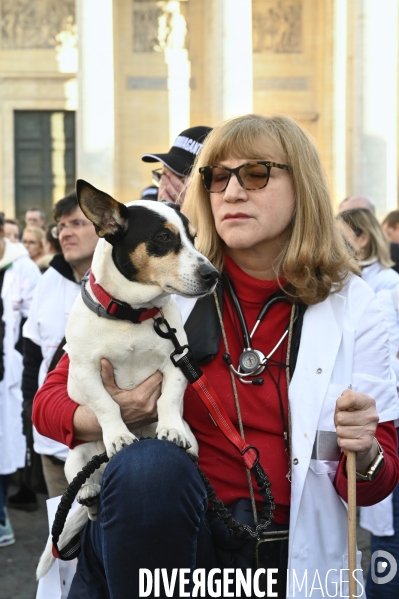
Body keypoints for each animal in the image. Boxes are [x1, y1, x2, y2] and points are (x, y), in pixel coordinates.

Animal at [36, 180, 219, 580]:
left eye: (194, 238)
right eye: (163, 238)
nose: (213, 275)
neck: (132, 316)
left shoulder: (177, 362)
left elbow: (168, 399)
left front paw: (169, 428)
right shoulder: (86, 372)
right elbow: (106, 405)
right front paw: (119, 435)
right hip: (77, 458)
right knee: (88, 496)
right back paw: (89, 494)